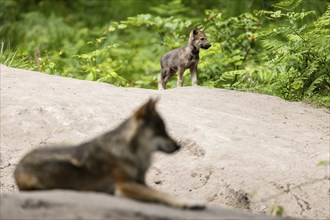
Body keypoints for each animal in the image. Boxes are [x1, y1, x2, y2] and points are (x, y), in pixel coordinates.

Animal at [14, 99, 204, 209]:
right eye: (160, 130)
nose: (179, 146)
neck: (136, 155)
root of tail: (18, 166)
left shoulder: (140, 182)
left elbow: (161, 191)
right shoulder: (125, 185)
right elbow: (161, 194)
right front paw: (189, 202)